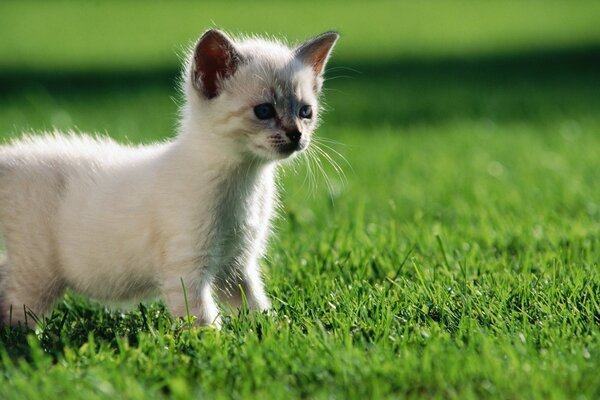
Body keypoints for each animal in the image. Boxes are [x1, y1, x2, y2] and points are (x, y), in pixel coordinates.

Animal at [0, 28, 338, 328]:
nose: (296, 135)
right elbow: (202, 320)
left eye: (305, 112)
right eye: (264, 111)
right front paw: (213, 345)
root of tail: (13, 154)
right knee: (15, 314)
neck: (245, 181)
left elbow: (255, 306)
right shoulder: (187, 266)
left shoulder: (237, 264)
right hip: (37, 275)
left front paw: (275, 332)